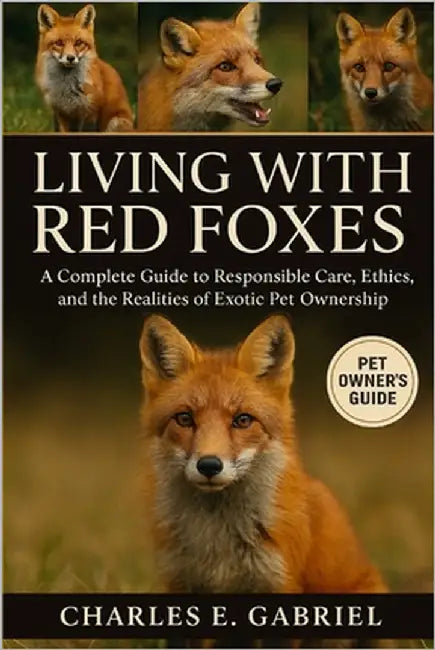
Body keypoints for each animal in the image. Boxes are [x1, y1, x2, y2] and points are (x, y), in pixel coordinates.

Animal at [35, 4, 134, 132]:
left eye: (78, 42)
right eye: (59, 43)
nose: (70, 58)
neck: (67, 87)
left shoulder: (90, 112)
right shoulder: (61, 112)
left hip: (115, 122)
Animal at [139, 314, 387, 596]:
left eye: (243, 420)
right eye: (184, 418)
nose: (209, 465)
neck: (218, 542)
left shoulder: (278, 579)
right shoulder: (179, 579)